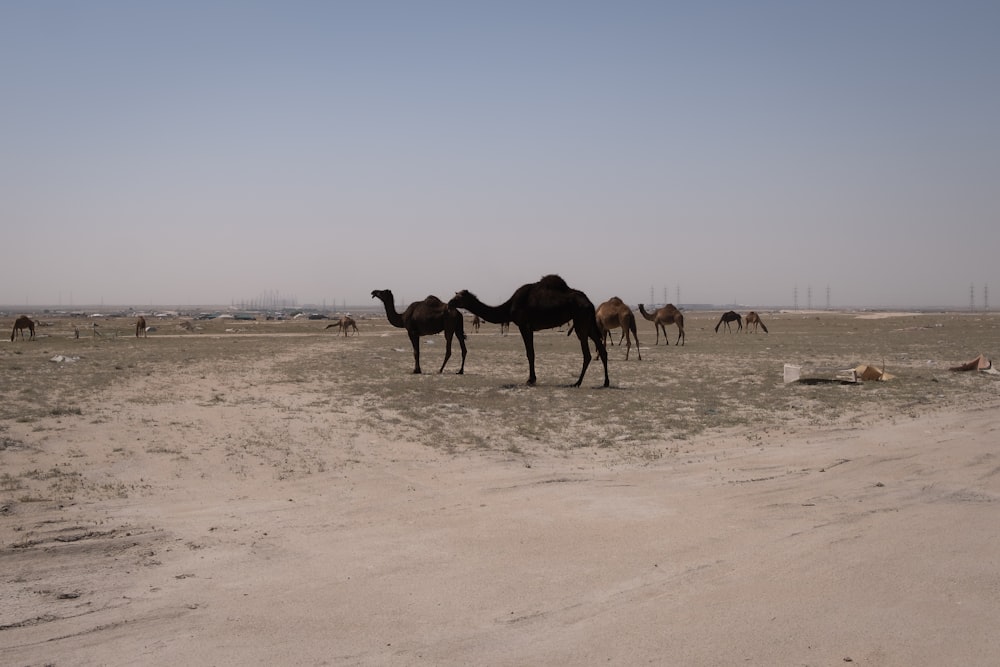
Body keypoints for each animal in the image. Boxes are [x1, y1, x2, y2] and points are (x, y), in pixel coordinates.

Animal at [452, 272, 608, 386]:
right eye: (456, 295)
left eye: (459, 297)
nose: (450, 302)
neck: (509, 306)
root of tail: (590, 303)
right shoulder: (529, 327)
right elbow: (531, 352)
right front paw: (532, 378)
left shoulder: (524, 325)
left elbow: (529, 353)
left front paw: (530, 380)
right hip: (588, 323)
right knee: (602, 349)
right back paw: (605, 382)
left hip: (581, 321)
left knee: (587, 353)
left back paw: (577, 382)